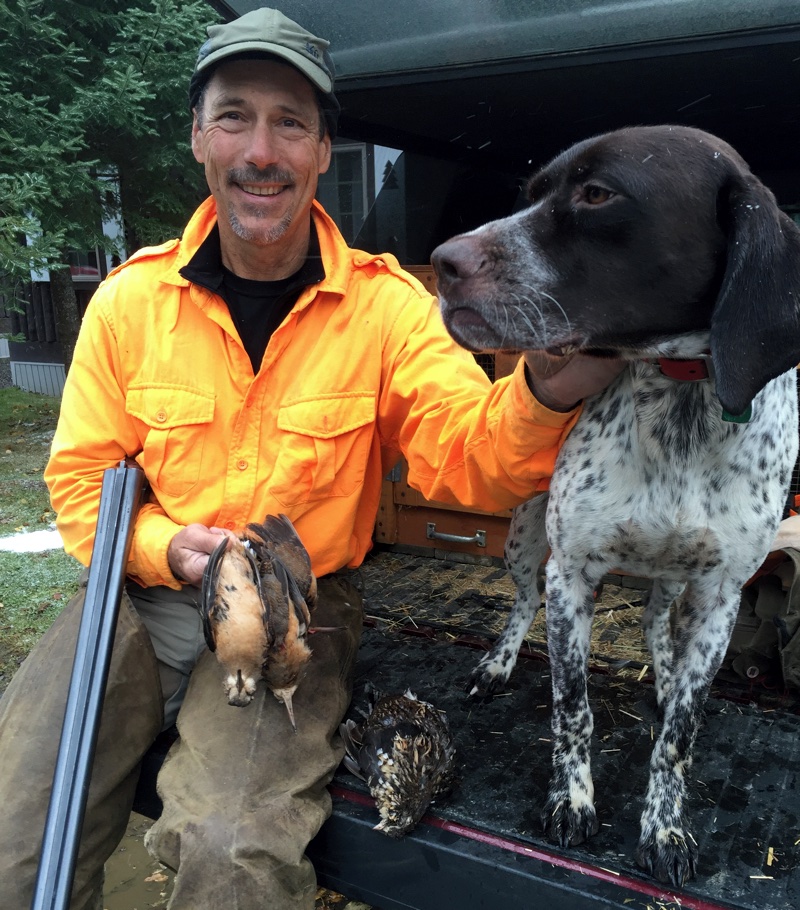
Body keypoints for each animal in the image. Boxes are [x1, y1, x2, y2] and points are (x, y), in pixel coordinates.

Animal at [434, 124, 800, 888]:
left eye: (598, 194)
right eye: (530, 192)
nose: (443, 262)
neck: (681, 397)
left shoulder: (721, 594)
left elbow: (678, 737)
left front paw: (664, 827)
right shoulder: (571, 574)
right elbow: (572, 709)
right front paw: (571, 800)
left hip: (676, 579)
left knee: (660, 621)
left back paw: (661, 669)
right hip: (525, 540)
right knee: (522, 603)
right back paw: (498, 662)